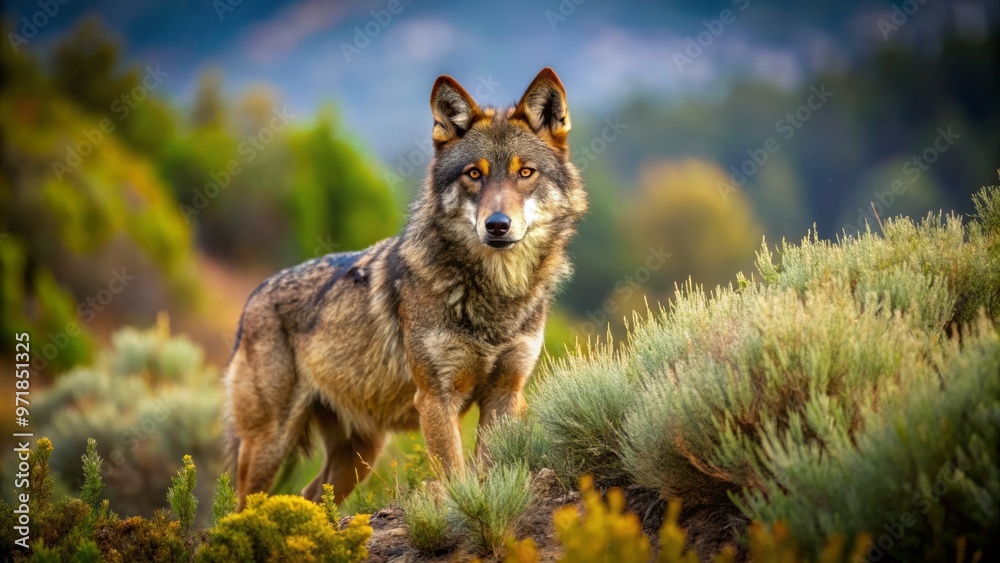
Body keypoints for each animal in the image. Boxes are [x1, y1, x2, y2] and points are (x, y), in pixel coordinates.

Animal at [223, 68, 587, 508]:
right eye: (474, 174)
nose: (497, 225)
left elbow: (489, 472)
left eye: (526, 172)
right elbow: (454, 476)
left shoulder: (504, 395)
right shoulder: (436, 399)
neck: (494, 295)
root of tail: (253, 298)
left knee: (311, 496)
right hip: (271, 445)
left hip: (358, 455)